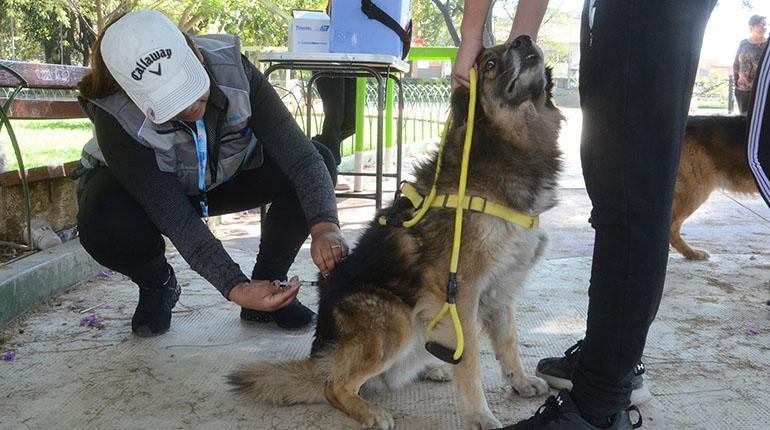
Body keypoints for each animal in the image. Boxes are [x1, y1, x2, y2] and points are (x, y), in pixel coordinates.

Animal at [225, 37, 560, 430]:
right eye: (490, 63)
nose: (525, 39)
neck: (499, 148)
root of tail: (322, 358)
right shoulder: (460, 291)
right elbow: (471, 361)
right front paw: (479, 414)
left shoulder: (504, 285)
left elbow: (508, 341)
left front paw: (518, 381)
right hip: (396, 318)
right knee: (335, 387)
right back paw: (369, 410)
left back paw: (432, 367)